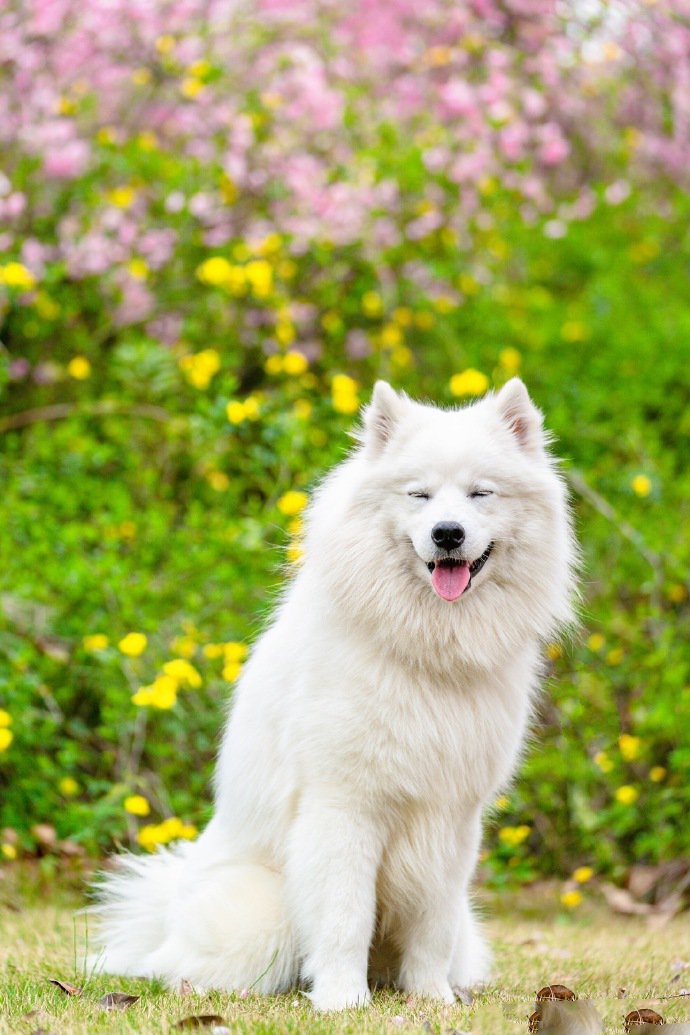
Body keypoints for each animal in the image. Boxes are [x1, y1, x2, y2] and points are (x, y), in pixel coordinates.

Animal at [93, 376, 579, 1006]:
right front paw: (342, 1000)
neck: (425, 651)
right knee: (181, 964)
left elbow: (433, 923)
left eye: (481, 493)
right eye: (419, 495)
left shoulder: (452, 817)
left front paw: (431, 998)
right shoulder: (344, 806)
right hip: (263, 919)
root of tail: (167, 909)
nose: (447, 534)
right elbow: (345, 915)